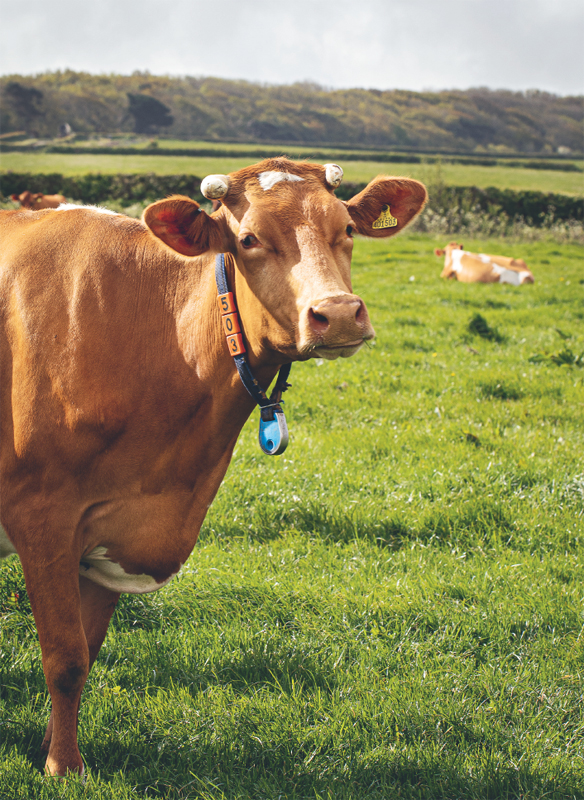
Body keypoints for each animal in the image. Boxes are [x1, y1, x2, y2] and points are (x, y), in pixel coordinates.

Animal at [0, 158, 428, 776]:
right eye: (248, 240)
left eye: (346, 228)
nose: (339, 314)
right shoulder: (43, 515)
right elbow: (64, 655)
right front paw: (63, 767)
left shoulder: (114, 533)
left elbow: (86, 650)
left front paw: (52, 748)